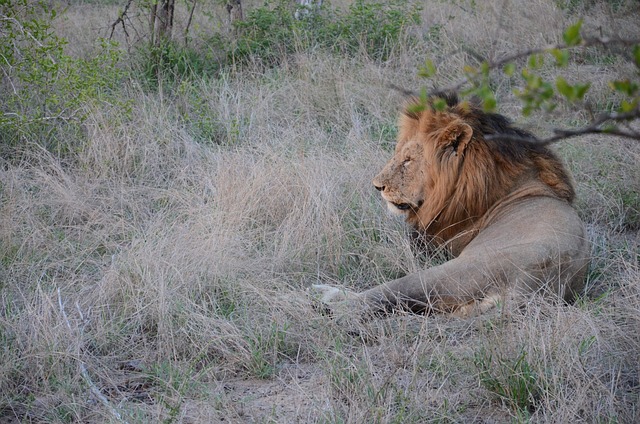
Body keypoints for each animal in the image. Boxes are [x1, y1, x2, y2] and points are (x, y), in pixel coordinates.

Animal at [314, 92, 590, 317]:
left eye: (408, 160)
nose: (377, 186)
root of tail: (530, 285)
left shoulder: (437, 246)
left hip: (450, 271)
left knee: (376, 297)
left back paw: (323, 299)